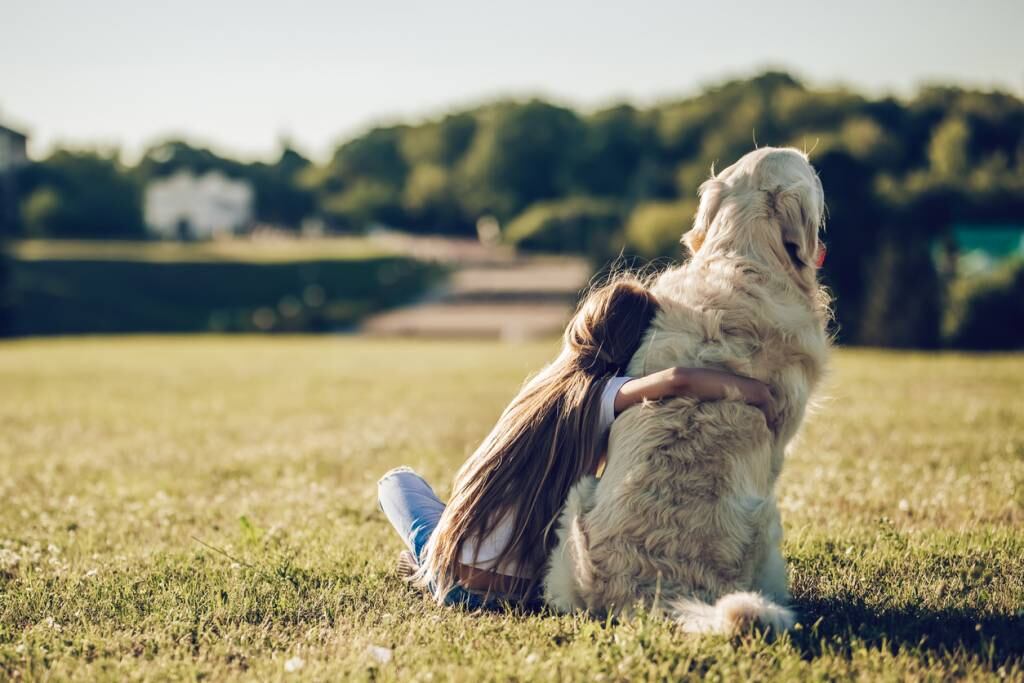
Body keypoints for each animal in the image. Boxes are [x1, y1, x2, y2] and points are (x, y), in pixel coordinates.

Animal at [544, 147, 831, 634]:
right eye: (810, 173)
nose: (816, 162)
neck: (743, 256)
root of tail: (652, 589)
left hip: (575, 504)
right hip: (768, 519)